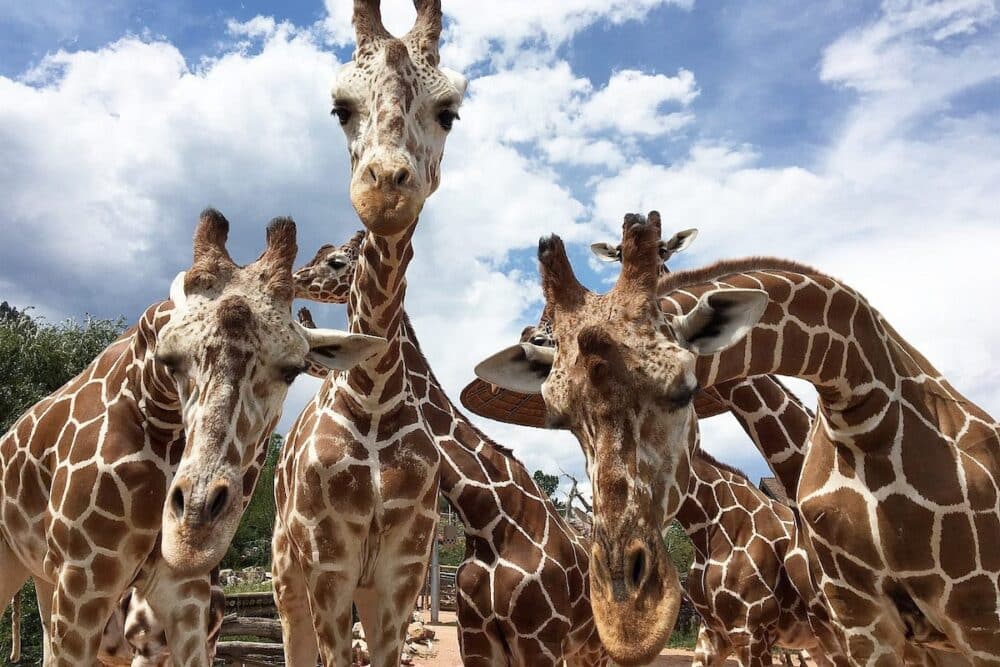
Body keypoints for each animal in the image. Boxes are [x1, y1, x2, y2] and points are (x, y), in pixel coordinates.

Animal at [0, 210, 382, 667]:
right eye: (169, 358)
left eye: (292, 370)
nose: (192, 532)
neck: (155, 412)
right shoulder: (85, 581)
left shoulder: (185, 599)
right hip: (17, 565)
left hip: (44, 578)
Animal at [270, 2, 472, 664]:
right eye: (341, 107)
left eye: (449, 111)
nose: (384, 187)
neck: (376, 390)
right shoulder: (328, 561)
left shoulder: (401, 570)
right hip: (286, 570)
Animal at [286, 231, 604, 667]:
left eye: (334, 261)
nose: (295, 280)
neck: (489, 520)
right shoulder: (478, 639)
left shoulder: (538, 640)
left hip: (594, 642)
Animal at [470, 215, 1000, 667]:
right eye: (561, 418)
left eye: (685, 390)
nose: (628, 621)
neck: (862, 407)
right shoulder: (850, 624)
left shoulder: (977, 611)